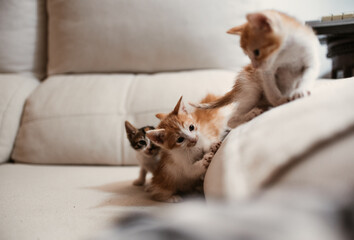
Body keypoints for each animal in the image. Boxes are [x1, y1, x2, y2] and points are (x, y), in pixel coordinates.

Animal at [192, 10, 320, 128]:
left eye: (256, 52)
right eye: (247, 54)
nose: (254, 66)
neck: (288, 52)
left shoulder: (311, 61)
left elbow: (307, 77)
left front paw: (301, 90)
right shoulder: (267, 72)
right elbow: (272, 90)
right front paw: (279, 101)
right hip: (251, 90)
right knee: (231, 121)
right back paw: (251, 114)